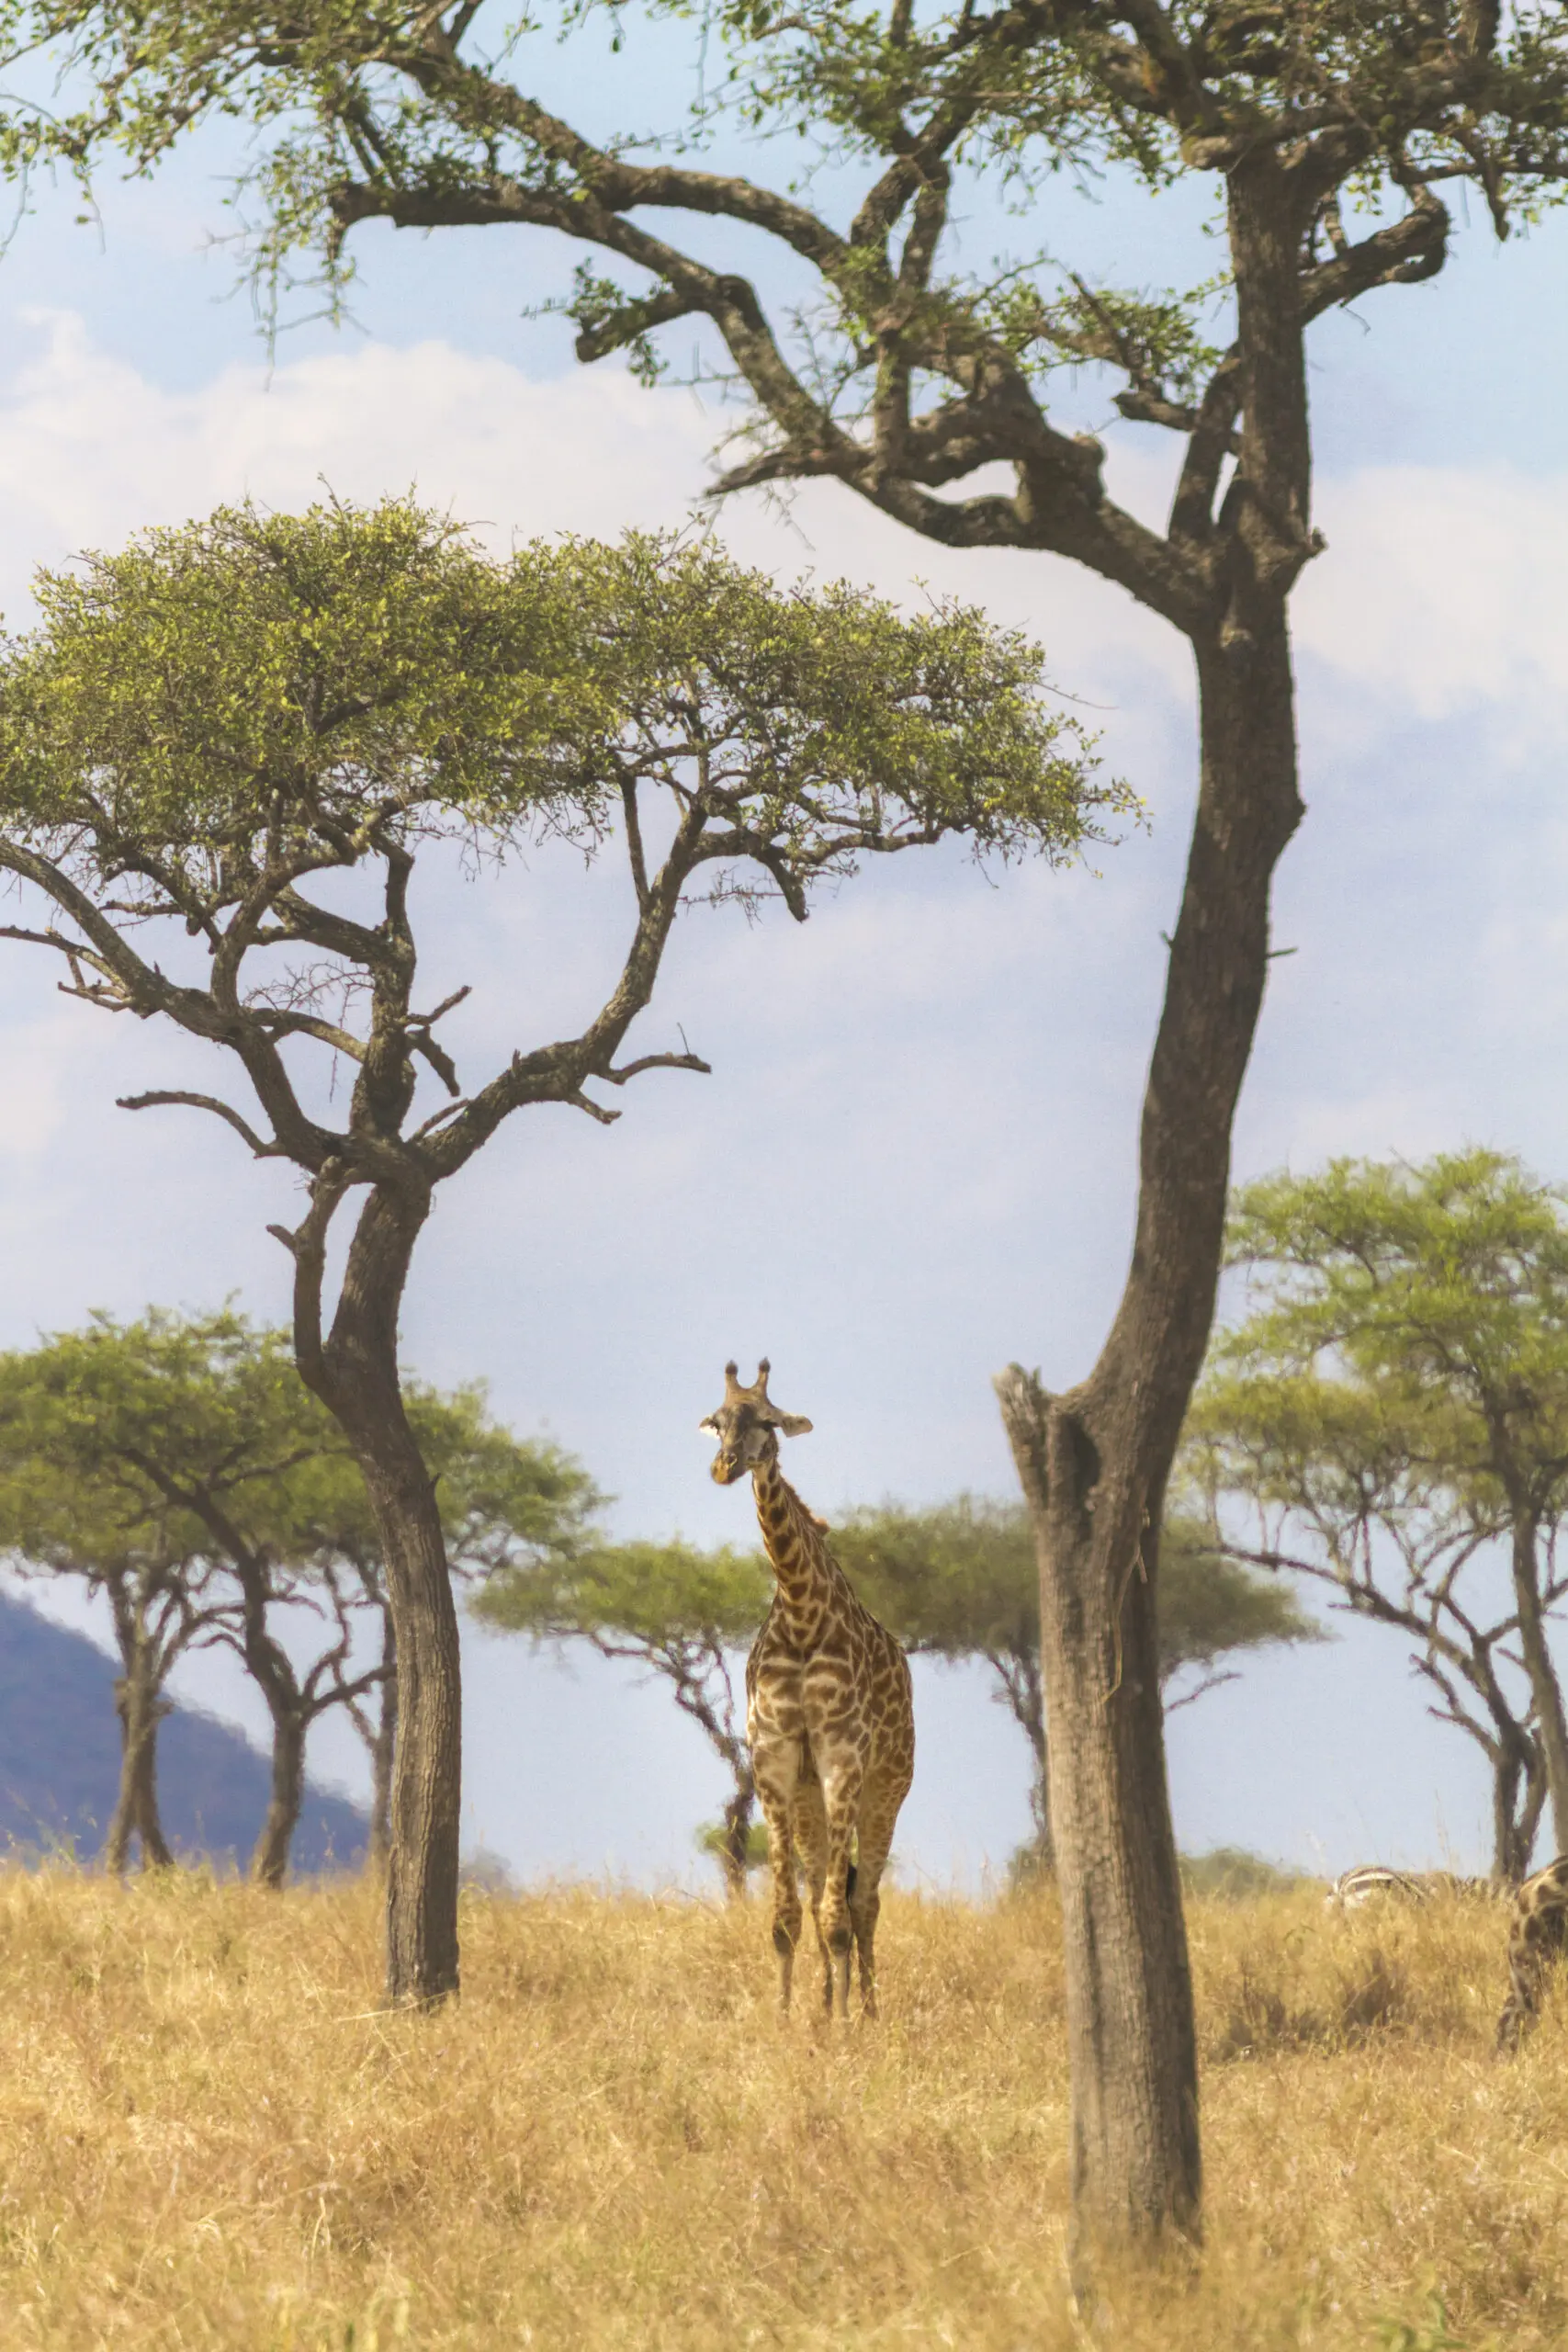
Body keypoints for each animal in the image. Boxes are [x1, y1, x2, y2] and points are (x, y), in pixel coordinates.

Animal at [700, 1359, 915, 2021]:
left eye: (768, 1422)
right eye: (717, 1419)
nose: (724, 1466)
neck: (800, 1613)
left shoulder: (843, 1758)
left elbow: (838, 1912)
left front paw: (843, 2023)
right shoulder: (773, 1760)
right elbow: (787, 1916)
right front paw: (789, 2016)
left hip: (886, 1786)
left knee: (864, 1900)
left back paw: (865, 2010)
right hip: (808, 1795)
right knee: (828, 1889)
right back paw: (825, 2003)